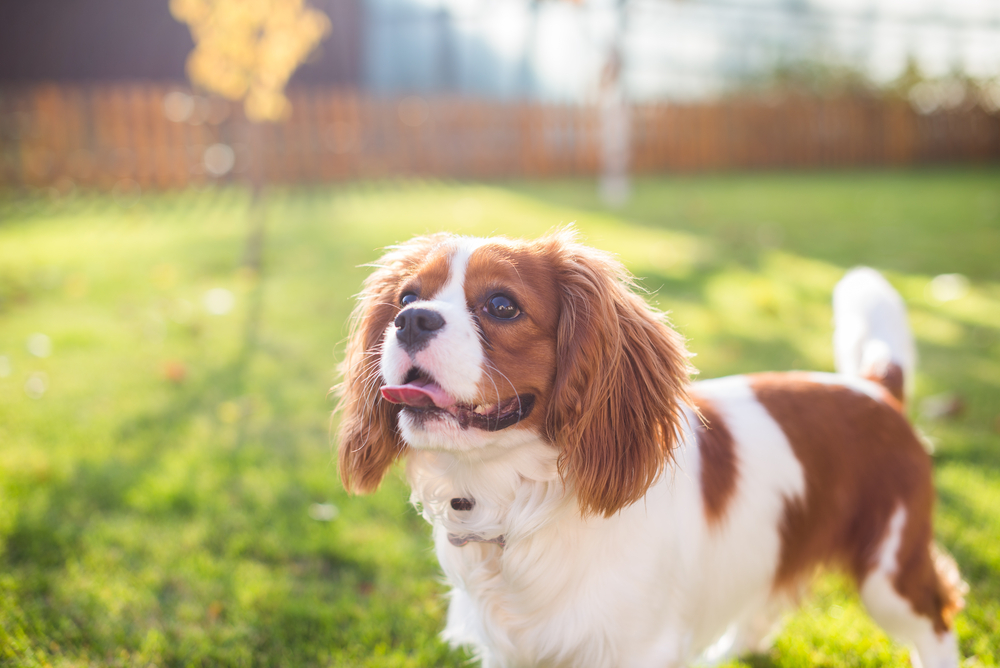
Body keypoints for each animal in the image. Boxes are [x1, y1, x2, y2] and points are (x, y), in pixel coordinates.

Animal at [336, 230, 960, 668]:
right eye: (407, 296)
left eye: (502, 305)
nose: (411, 319)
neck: (515, 498)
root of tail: (877, 390)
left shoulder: (638, 648)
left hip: (890, 572)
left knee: (938, 619)